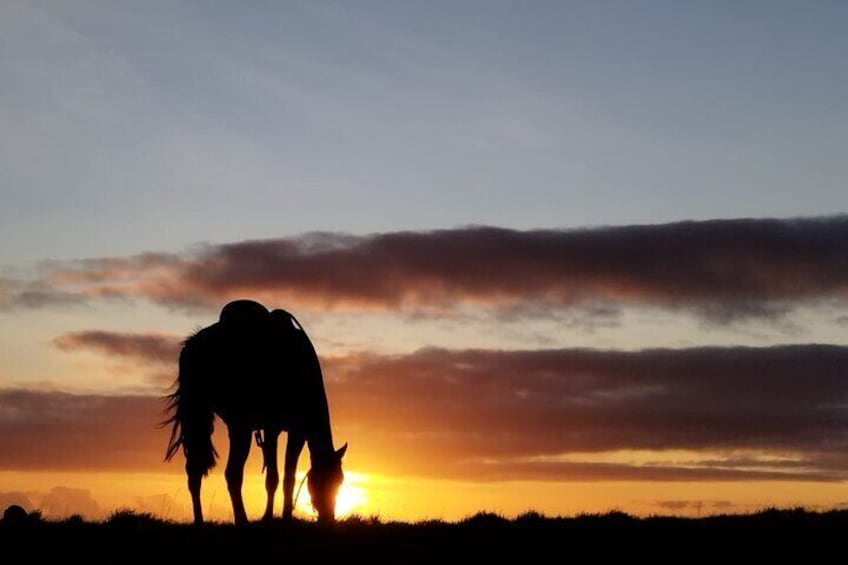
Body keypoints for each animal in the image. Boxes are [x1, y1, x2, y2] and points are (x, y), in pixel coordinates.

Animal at [162, 300, 348, 524]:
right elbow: (273, 478)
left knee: (201, 470)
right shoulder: (272, 427)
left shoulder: (297, 433)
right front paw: (268, 517)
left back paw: (206, 520)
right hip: (225, 422)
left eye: (339, 481)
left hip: (216, 421)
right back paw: (237, 520)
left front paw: (286, 517)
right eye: (322, 479)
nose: (328, 517)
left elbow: (289, 477)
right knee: (227, 473)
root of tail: (193, 344)